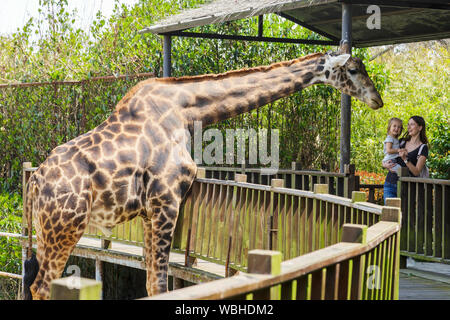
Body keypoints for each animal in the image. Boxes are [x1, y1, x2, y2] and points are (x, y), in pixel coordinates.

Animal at [22, 45, 384, 300]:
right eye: (354, 69)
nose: (377, 100)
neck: (187, 111)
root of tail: (34, 182)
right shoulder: (167, 200)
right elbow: (160, 285)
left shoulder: (149, 212)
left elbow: (153, 284)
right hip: (65, 228)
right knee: (42, 285)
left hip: (45, 231)